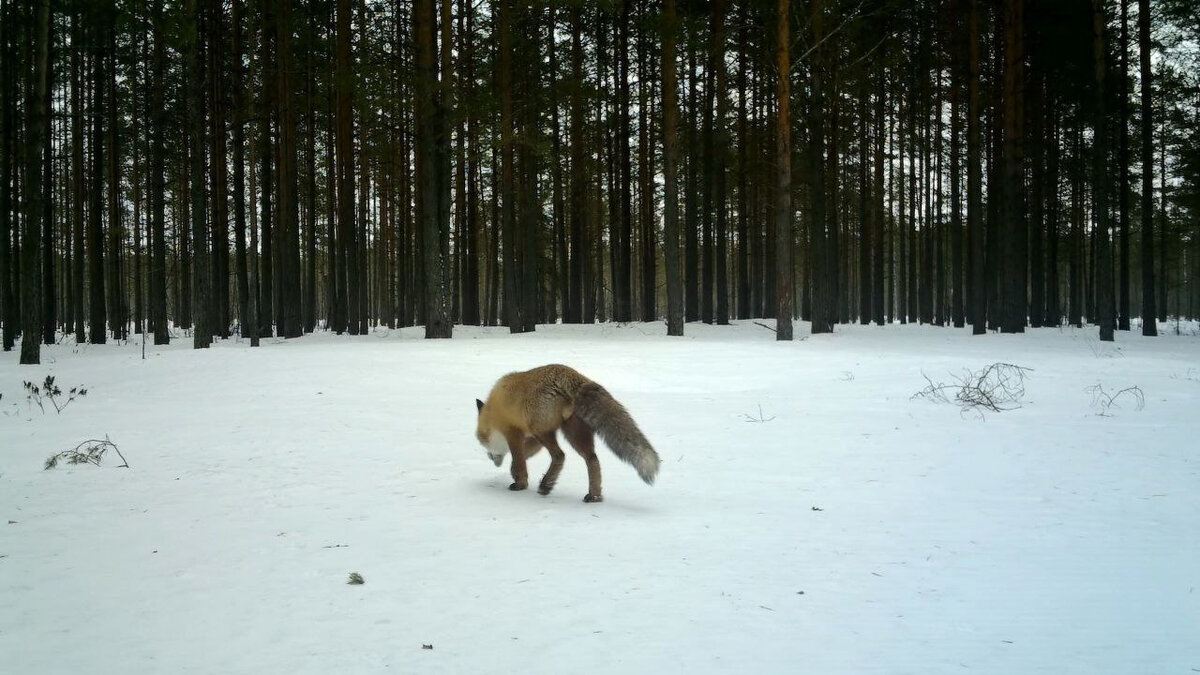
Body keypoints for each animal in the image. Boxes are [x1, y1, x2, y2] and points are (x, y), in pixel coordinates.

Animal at [472, 362, 662, 499]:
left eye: (484, 443)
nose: (490, 458)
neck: (494, 412)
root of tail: (573, 376)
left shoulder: (515, 433)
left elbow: (518, 460)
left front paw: (520, 483)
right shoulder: (532, 439)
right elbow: (521, 458)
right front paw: (516, 474)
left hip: (544, 431)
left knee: (560, 455)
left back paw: (546, 485)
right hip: (571, 433)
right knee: (592, 459)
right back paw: (594, 495)